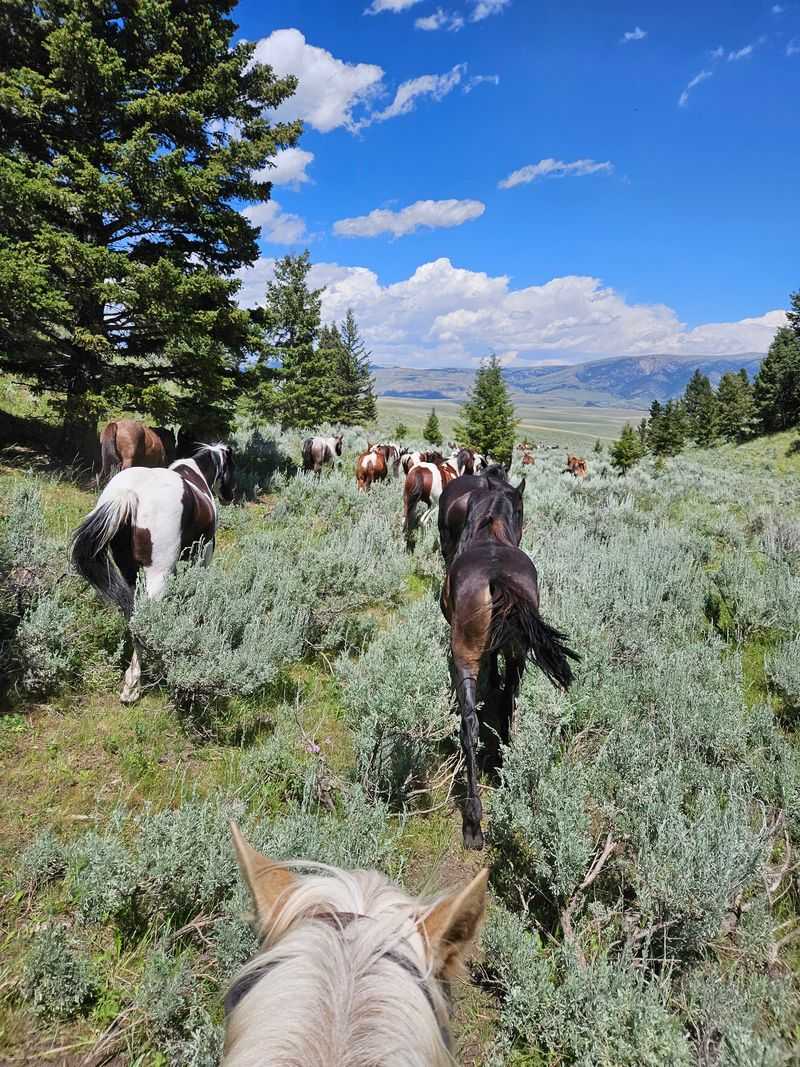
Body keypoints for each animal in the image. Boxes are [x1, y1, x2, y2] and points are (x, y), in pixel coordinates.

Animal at [70, 444, 235, 704]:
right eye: (231, 466)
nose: (230, 495)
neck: (196, 474)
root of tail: (129, 494)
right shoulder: (203, 557)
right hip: (157, 576)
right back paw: (133, 685)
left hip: (130, 573)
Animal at [441, 486, 579, 849]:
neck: (490, 532)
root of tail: (495, 576)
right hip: (518, 654)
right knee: (507, 705)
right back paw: (504, 764)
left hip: (464, 656)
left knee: (470, 727)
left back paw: (473, 823)